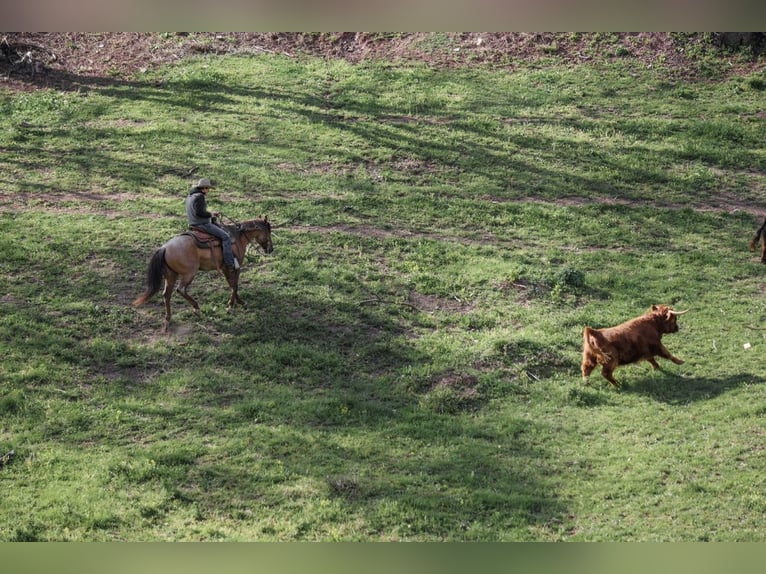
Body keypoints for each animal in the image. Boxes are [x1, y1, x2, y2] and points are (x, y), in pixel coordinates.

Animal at [134, 217, 273, 331]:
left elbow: (232, 285)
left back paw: (168, 320)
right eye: (269, 232)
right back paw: (196, 308)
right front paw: (230, 306)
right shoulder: (233, 268)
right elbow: (235, 285)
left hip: (171, 275)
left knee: (166, 295)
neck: (238, 237)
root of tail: (164, 248)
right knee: (181, 289)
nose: (271, 249)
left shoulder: (225, 269)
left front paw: (239, 302)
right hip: (189, 273)